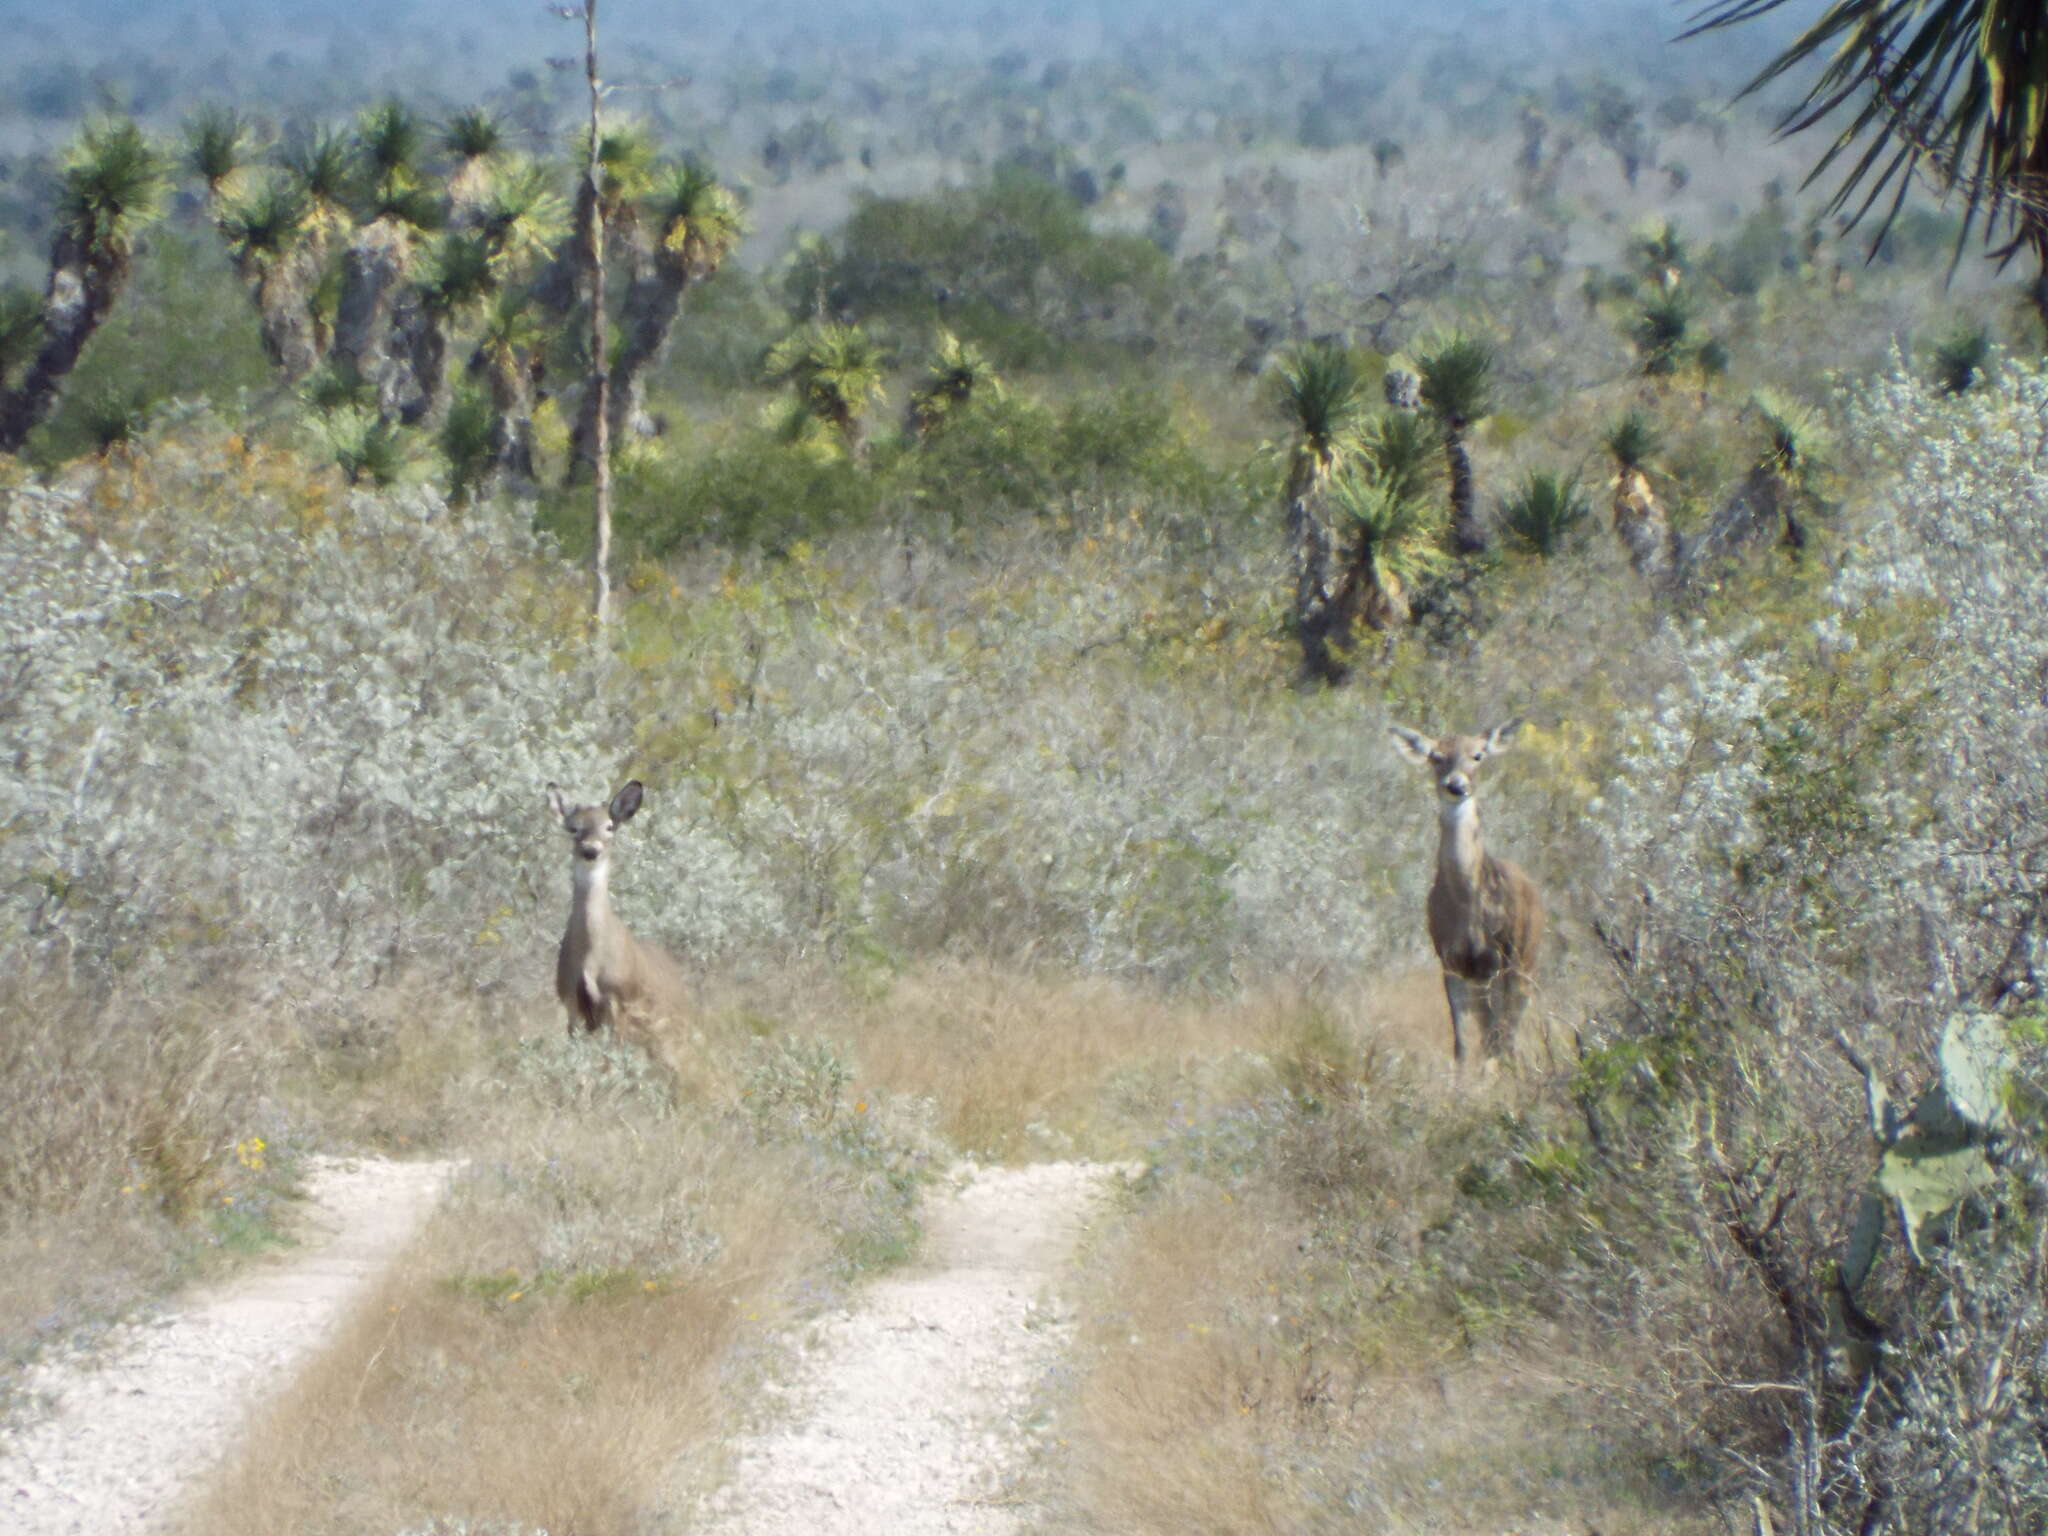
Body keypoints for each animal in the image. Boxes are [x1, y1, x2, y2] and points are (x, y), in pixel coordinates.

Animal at [548, 782, 692, 1081]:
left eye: (610, 826)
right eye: (573, 828)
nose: (591, 850)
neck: (591, 959)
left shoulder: (620, 1000)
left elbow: (609, 1063)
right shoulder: (571, 1003)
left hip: (671, 1031)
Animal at [1384, 720, 1540, 1073]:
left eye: (1478, 755)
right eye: (1435, 757)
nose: (1455, 785)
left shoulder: (1497, 956)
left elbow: (1496, 1034)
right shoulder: (1450, 960)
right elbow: (1462, 1041)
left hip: (1526, 957)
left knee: (1512, 1023)